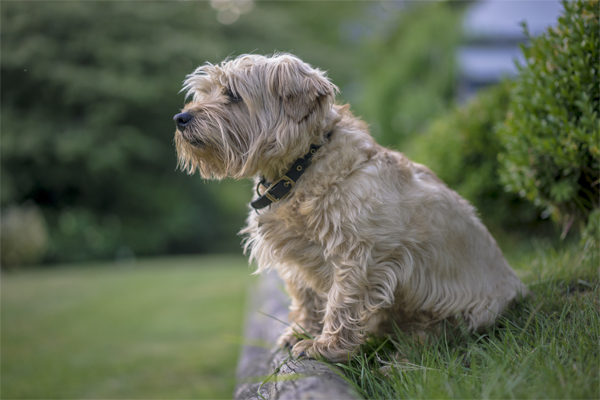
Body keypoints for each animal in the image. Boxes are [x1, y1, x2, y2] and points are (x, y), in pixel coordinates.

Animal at [172, 53, 524, 362]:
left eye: (232, 94)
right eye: (204, 92)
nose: (180, 118)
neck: (302, 166)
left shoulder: (357, 253)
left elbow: (341, 300)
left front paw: (324, 347)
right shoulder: (296, 254)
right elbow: (304, 295)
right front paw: (300, 332)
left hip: (470, 311)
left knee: (439, 339)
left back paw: (399, 359)